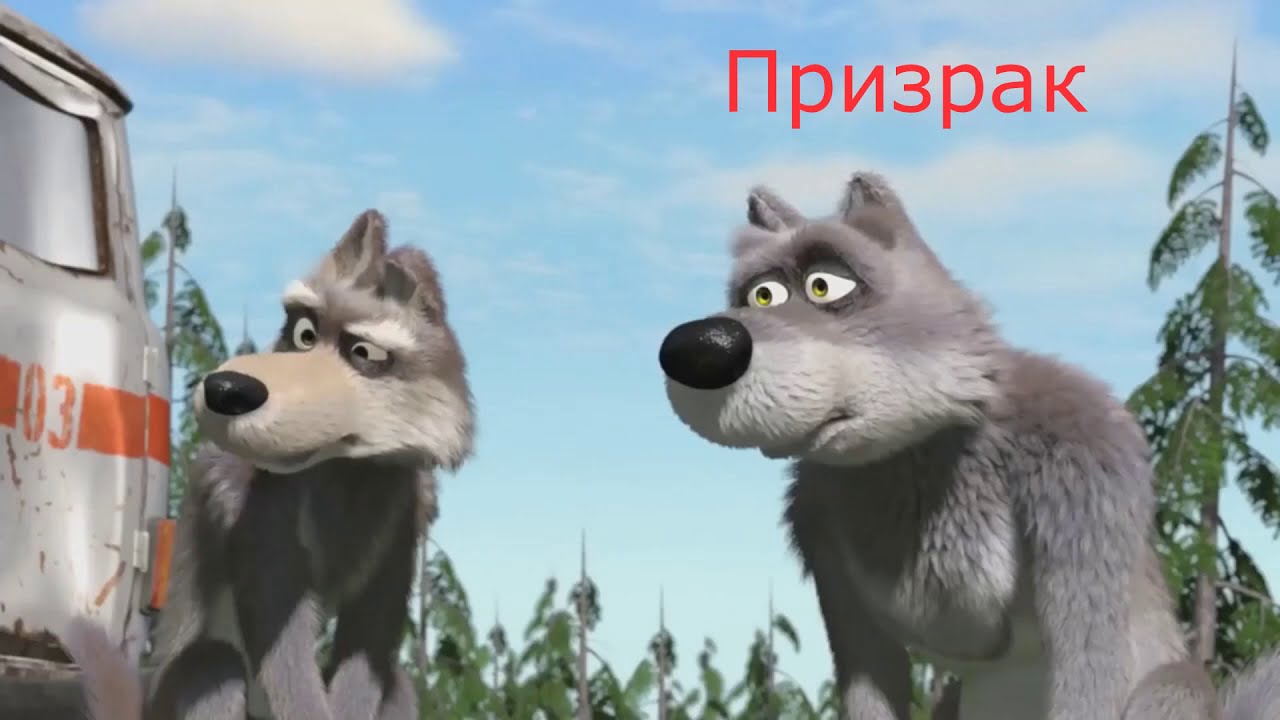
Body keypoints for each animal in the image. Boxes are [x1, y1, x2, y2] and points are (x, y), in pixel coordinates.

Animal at [61, 208, 475, 720]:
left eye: (363, 352)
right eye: (303, 334)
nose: (225, 389)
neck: (346, 472)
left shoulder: (403, 517)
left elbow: (369, 639)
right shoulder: (260, 509)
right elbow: (281, 639)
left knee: (397, 683)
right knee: (212, 661)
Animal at [658, 172, 1280, 720]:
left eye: (825, 284)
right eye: (760, 295)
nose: (694, 348)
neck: (912, 463)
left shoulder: (1085, 488)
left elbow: (1086, 675)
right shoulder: (824, 547)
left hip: (1171, 688)